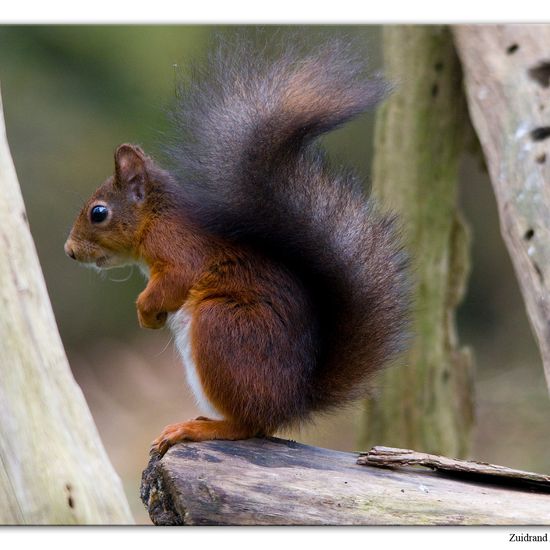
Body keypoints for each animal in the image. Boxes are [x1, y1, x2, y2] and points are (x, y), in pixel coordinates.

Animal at [64, 35, 410, 458]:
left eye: (99, 213)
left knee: (249, 425)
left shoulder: (180, 249)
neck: (157, 217)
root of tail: (291, 402)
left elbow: (174, 281)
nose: (70, 250)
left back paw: (198, 428)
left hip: (222, 326)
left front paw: (146, 311)